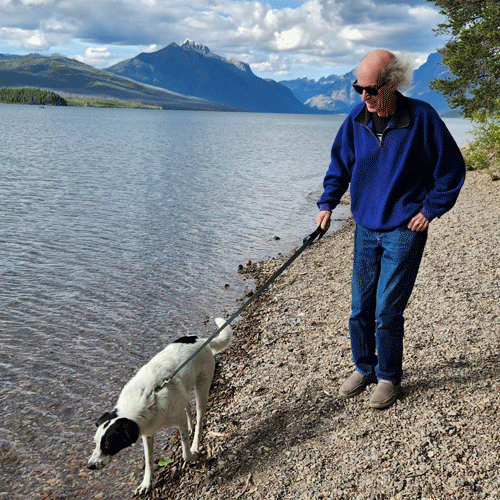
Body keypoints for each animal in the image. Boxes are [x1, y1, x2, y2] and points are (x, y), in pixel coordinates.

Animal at [87, 318, 232, 494]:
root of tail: (202, 340)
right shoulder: (147, 433)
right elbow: (148, 461)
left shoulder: (177, 421)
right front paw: (146, 484)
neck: (143, 401)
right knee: (187, 406)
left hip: (202, 388)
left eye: (108, 445)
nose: (90, 466)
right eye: (95, 442)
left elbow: (184, 452)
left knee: (199, 417)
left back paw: (195, 441)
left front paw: (192, 455)